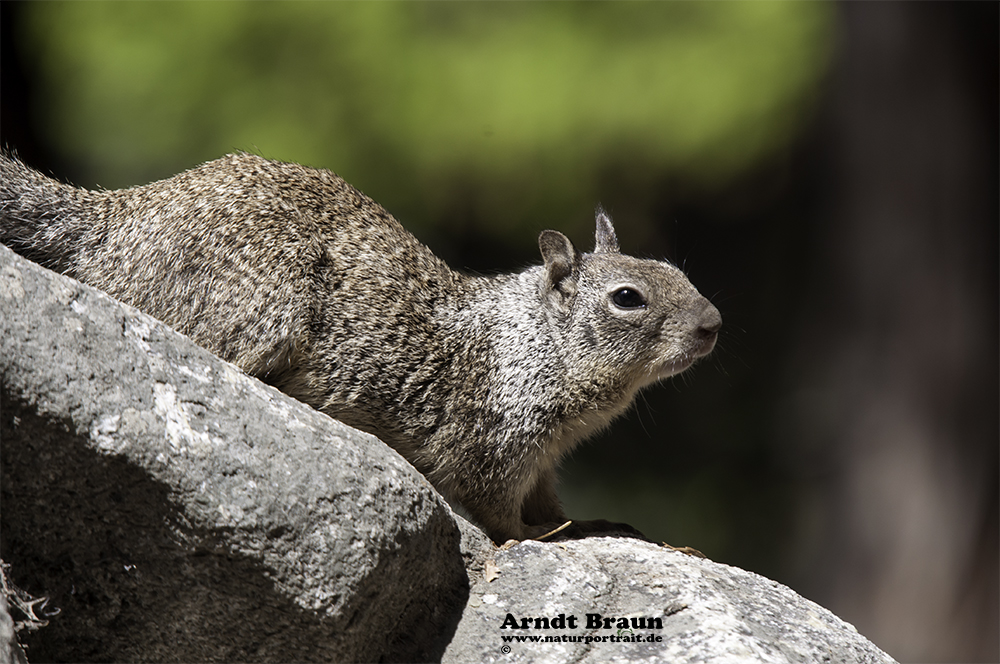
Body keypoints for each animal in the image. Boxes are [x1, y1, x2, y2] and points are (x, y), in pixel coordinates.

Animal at [0, 152, 720, 544]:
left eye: (675, 269)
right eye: (627, 297)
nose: (714, 322)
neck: (532, 340)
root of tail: (118, 216)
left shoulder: (543, 461)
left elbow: (550, 504)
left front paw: (585, 526)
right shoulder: (495, 445)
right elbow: (498, 511)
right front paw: (532, 539)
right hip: (260, 306)